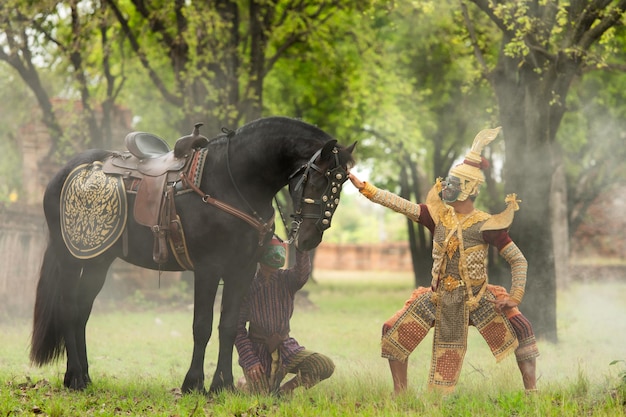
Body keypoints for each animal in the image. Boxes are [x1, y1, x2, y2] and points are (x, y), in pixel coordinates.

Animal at [31, 115, 354, 392]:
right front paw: (194, 383)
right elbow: (202, 326)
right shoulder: (208, 268)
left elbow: (228, 326)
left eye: (340, 185)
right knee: (68, 307)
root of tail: (65, 172)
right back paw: (76, 377)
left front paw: (222, 385)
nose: (310, 238)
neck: (232, 181)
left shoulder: (242, 270)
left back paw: (82, 375)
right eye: (319, 180)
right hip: (70, 257)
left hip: (99, 260)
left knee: (82, 311)